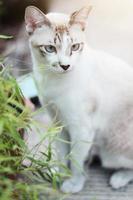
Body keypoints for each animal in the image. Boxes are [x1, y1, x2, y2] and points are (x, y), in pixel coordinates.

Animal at [25, 5, 133, 194]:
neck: (51, 81)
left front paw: (73, 183)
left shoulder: (81, 128)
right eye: (50, 48)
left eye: (75, 47)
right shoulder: (58, 124)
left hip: (112, 151)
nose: (65, 65)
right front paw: (60, 175)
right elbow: (62, 155)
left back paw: (118, 178)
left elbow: (75, 160)